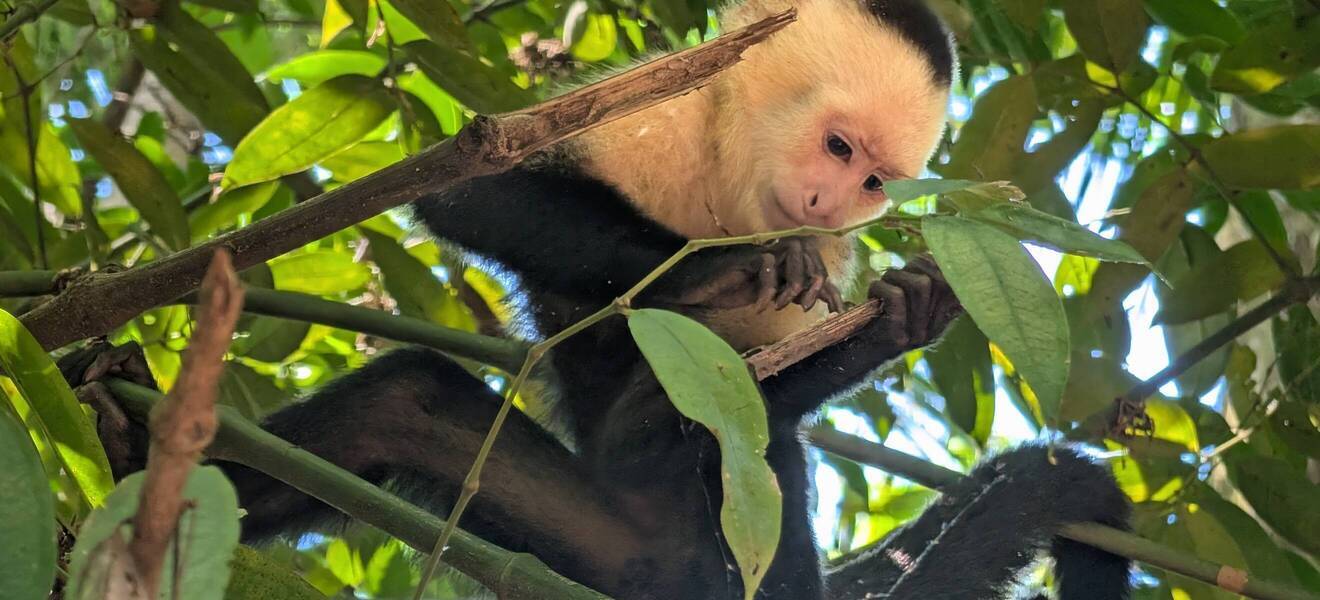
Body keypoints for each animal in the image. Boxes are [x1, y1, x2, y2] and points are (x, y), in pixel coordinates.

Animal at [59, 0, 1133, 597]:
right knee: (398, 407)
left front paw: (901, 318)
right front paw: (707, 272)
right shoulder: (659, 113)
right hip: (595, 546)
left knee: (747, 458)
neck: (734, 180)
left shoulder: (837, 252)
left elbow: (768, 400)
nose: (832, 199)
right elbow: (474, 187)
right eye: (837, 147)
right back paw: (126, 458)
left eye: (877, 180)